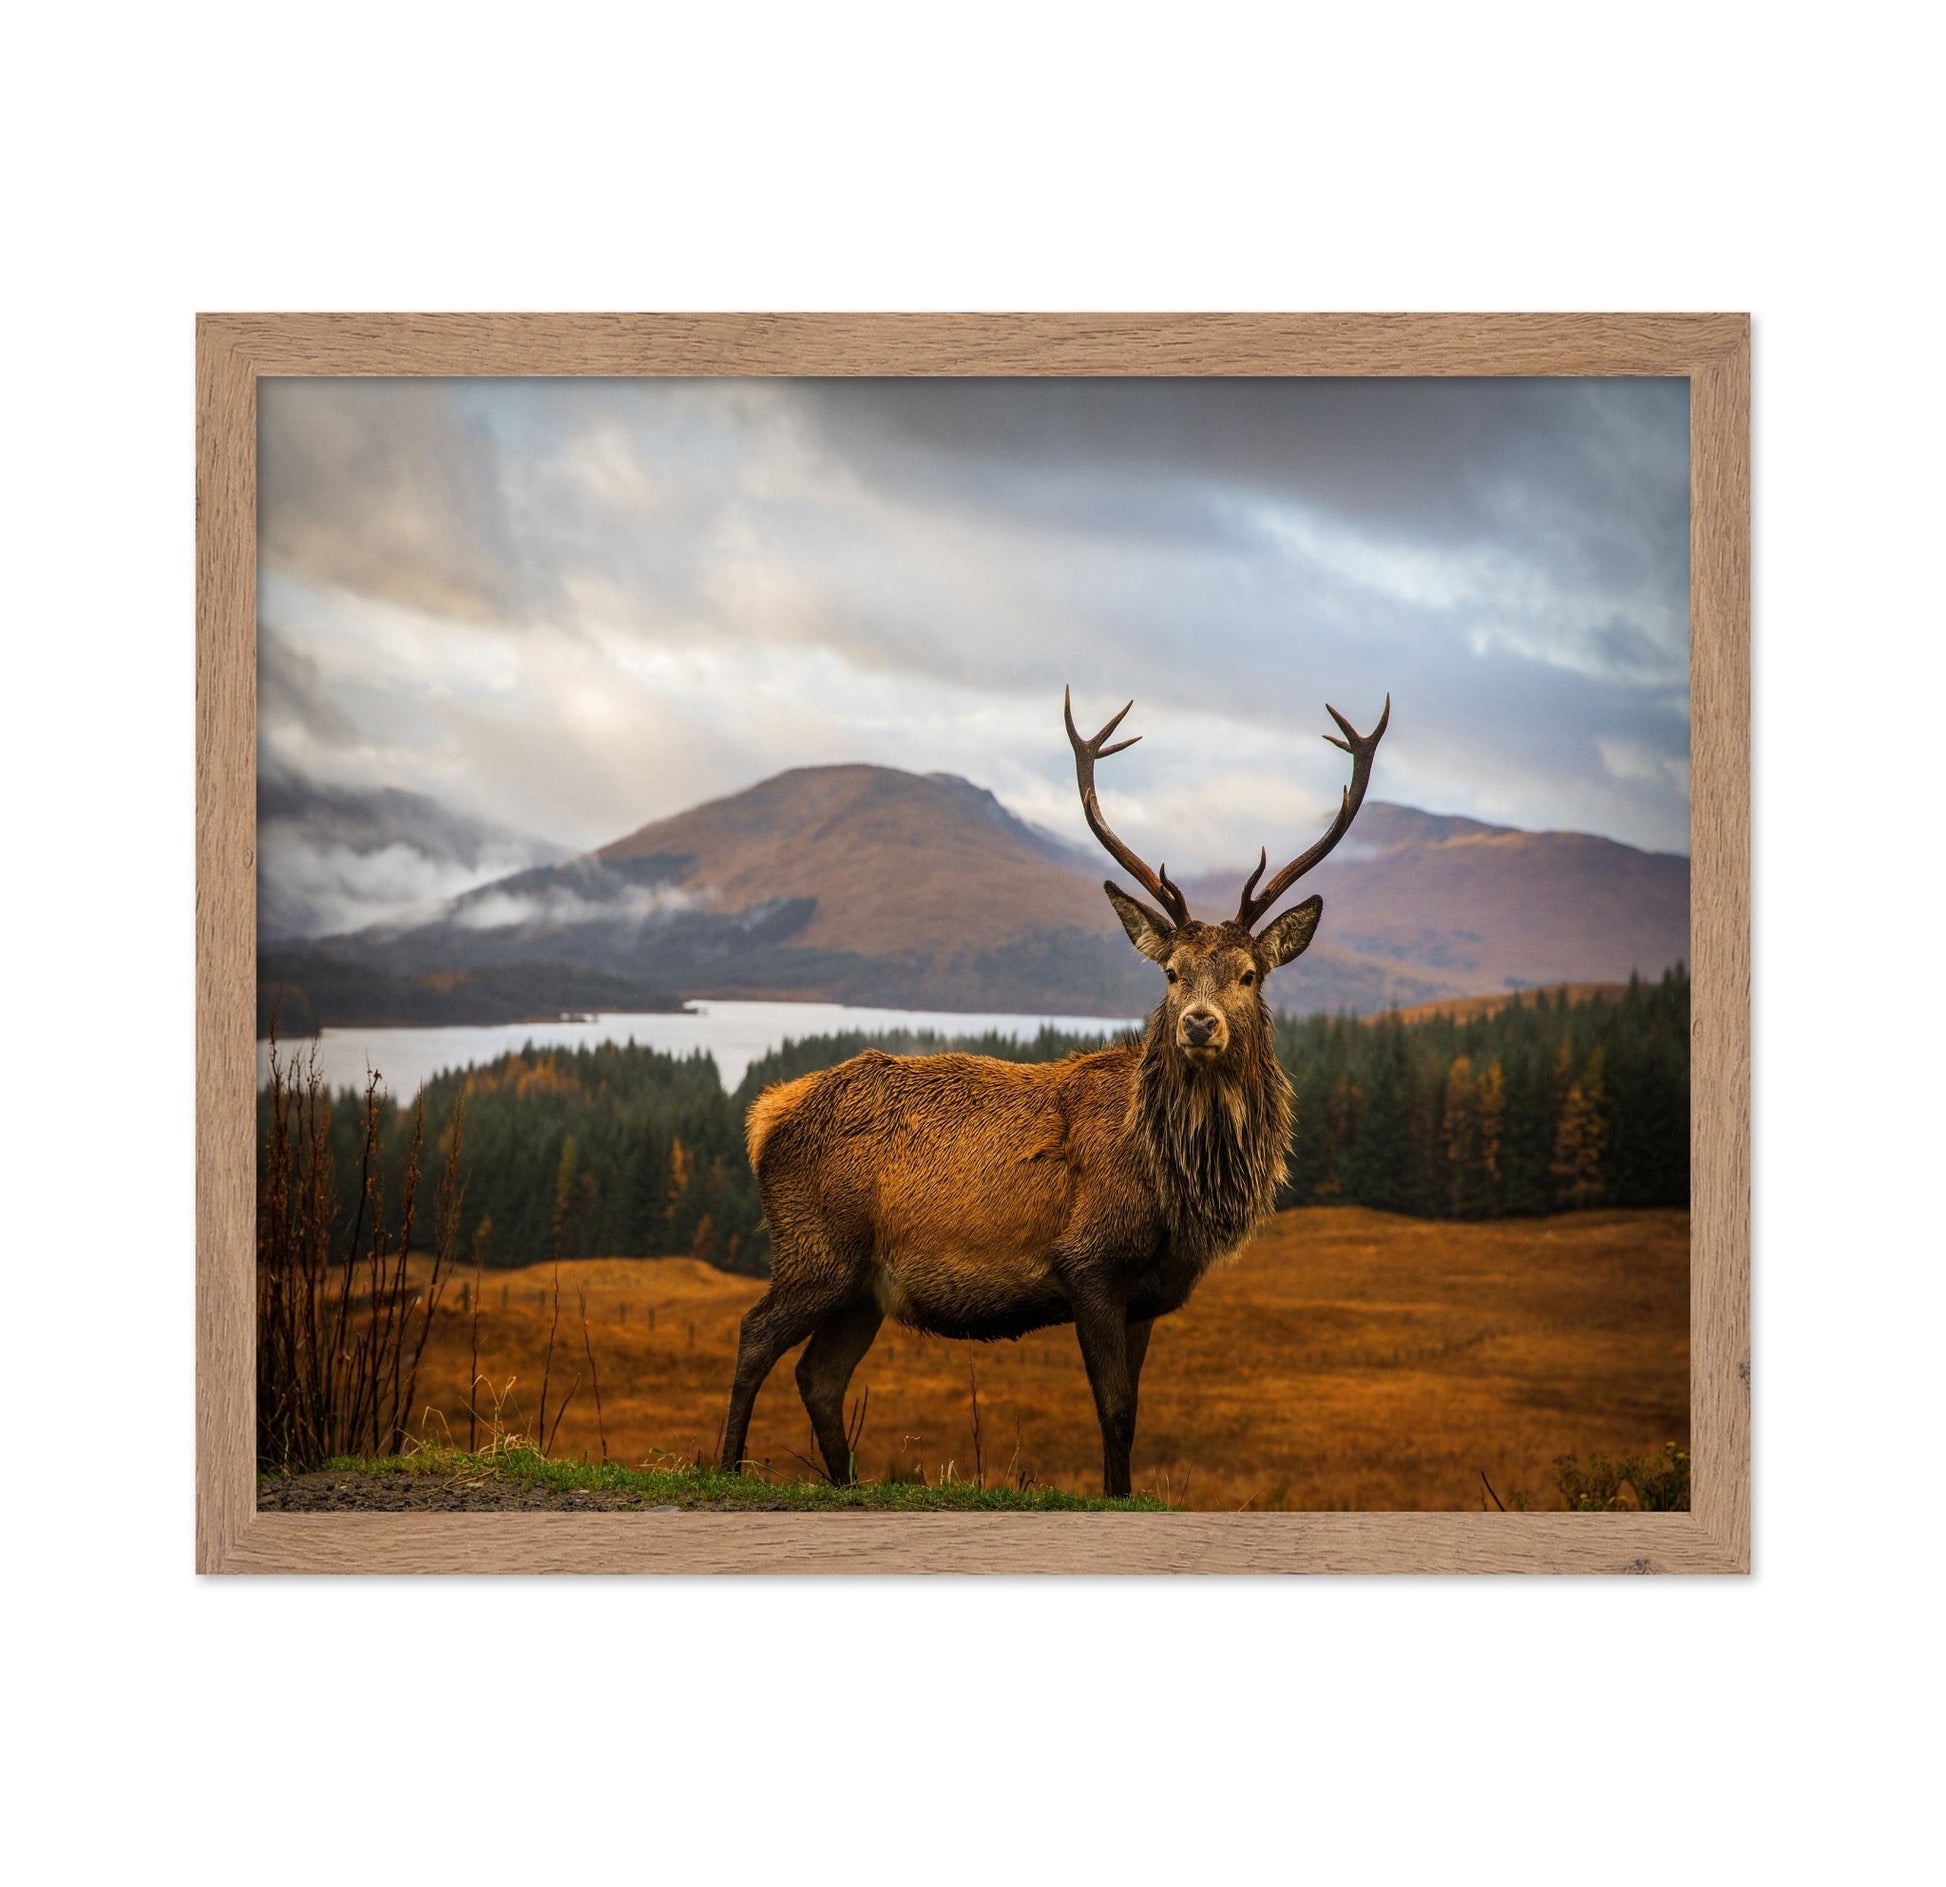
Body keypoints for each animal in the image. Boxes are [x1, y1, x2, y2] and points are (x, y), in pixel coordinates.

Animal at [719, 685, 1390, 1497]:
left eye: (1249, 973)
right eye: (1171, 973)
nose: (1198, 1023)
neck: (1176, 1191)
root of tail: (765, 1115)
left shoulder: (1148, 1295)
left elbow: (1132, 1411)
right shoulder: (1088, 1263)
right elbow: (1114, 1410)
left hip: (863, 1287)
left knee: (820, 1375)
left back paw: (844, 1482)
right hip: (817, 1247)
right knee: (755, 1335)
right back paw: (724, 1466)